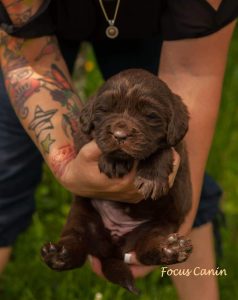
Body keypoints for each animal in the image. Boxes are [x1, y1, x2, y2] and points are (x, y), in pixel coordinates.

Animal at [41, 69, 193, 292]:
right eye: (104, 110)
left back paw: (170, 249)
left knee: (148, 249)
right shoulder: (81, 140)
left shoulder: (178, 148)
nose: (120, 135)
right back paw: (58, 255)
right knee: (76, 244)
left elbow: (161, 149)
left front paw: (151, 178)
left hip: (156, 227)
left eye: (150, 116)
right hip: (81, 217)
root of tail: (113, 249)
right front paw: (114, 160)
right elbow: (96, 139)